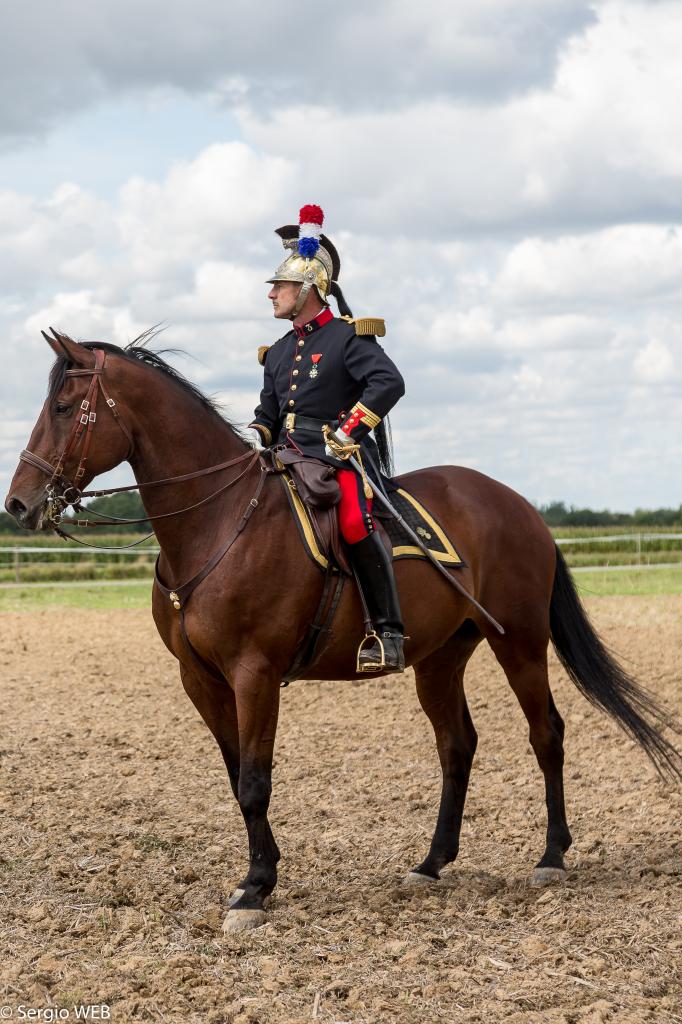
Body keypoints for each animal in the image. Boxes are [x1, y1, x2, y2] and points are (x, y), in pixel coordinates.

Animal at [5, 331, 679, 933]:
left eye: (62, 407)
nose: (19, 504)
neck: (219, 520)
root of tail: (519, 505)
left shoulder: (255, 673)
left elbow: (254, 780)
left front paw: (255, 889)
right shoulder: (200, 678)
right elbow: (236, 774)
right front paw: (263, 872)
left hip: (519, 641)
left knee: (547, 734)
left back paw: (551, 856)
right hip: (440, 657)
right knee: (457, 745)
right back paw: (431, 863)